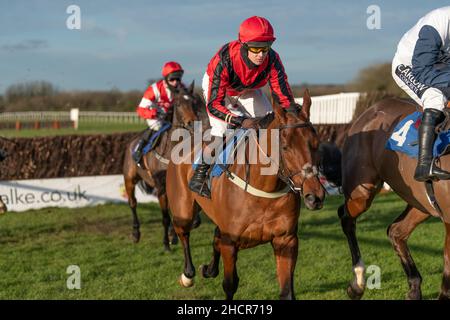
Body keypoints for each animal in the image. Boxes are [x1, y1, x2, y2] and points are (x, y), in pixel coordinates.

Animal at [122, 83, 201, 252]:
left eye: (195, 102)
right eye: (178, 104)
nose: (193, 123)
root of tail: (131, 142)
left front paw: (174, 234)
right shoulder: (160, 187)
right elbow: (165, 217)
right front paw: (166, 243)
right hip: (129, 179)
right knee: (132, 203)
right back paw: (135, 233)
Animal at [165, 90, 324, 300]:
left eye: (316, 143)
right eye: (285, 146)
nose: (315, 196)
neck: (264, 189)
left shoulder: (286, 240)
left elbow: (287, 291)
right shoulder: (231, 242)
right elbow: (230, 284)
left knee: (215, 235)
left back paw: (209, 269)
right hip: (183, 208)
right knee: (182, 231)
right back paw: (187, 275)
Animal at [336, 97, 450, 300]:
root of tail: (370, 111)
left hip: (422, 203)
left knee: (395, 231)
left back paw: (414, 288)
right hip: (362, 192)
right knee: (346, 217)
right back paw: (357, 283)